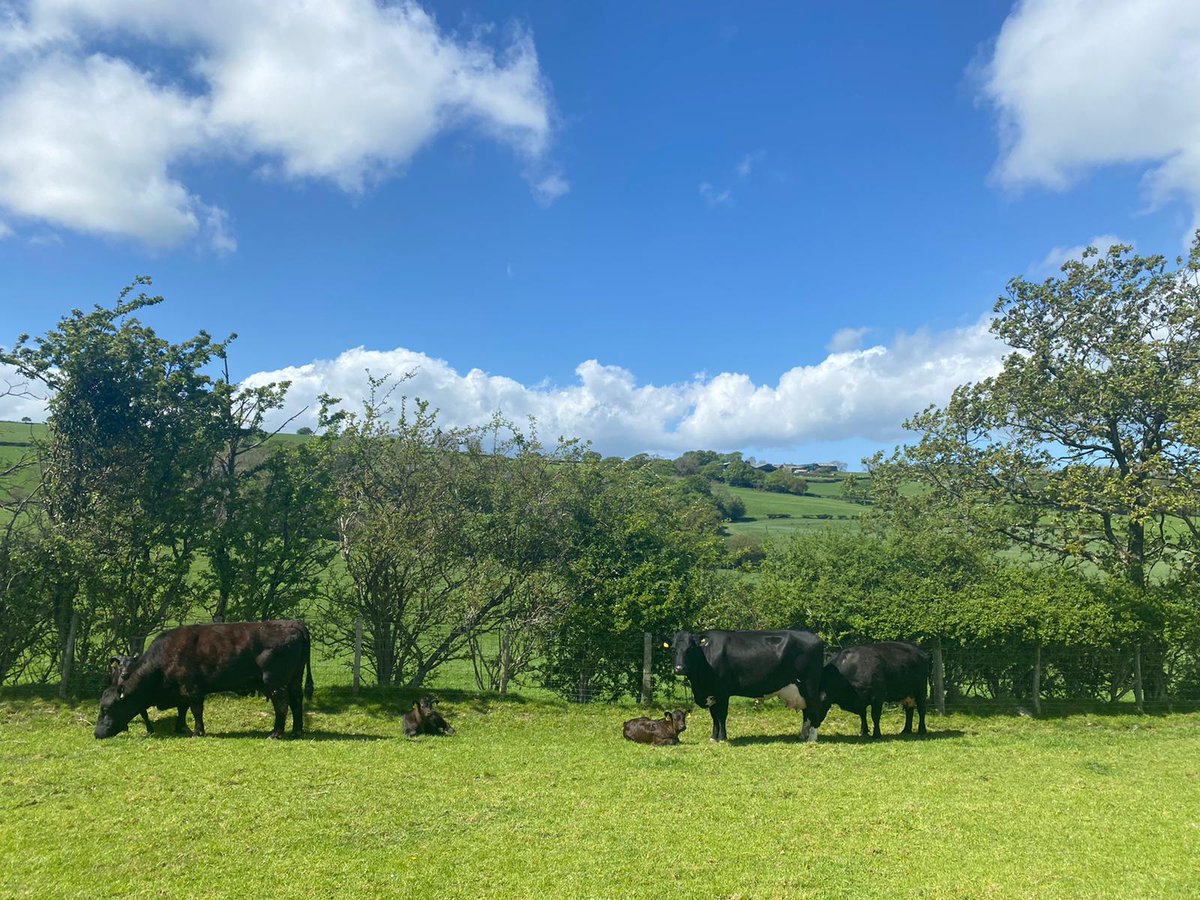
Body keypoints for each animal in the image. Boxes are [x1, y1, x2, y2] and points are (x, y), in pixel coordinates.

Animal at [95, 620, 314, 740]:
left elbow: (195, 710)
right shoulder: (182, 690)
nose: (96, 733)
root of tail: (291, 623)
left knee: (282, 705)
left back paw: (276, 733)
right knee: (296, 702)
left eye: (106, 709)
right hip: (294, 679)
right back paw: (296, 731)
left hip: (275, 683)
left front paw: (196, 731)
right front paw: (181, 727)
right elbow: (182, 709)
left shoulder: (192, 689)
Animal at [671, 629, 825, 742]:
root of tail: (816, 637)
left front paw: (723, 738)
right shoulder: (712, 694)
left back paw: (812, 738)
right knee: (807, 711)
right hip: (802, 690)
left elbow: (721, 716)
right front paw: (713, 738)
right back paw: (803, 735)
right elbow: (714, 716)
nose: (679, 668)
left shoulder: (722, 693)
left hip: (810, 685)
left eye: (690, 649)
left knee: (815, 708)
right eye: (673, 649)